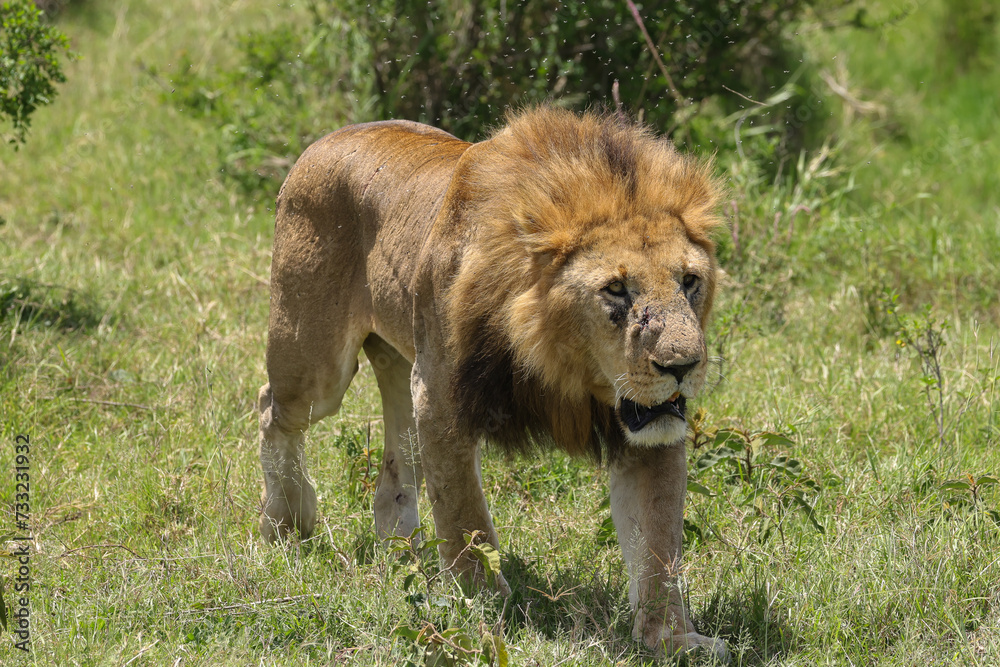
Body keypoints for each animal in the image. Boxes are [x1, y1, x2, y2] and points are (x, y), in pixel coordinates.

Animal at [258, 107, 728, 660]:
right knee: (273, 409)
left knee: (396, 460)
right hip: (317, 363)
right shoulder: (440, 399)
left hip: (399, 362)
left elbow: (658, 543)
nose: (684, 365)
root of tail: (330, 137)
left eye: (689, 281)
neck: (564, 367)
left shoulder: (646, 427)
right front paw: (485, 609)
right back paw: (288, 523)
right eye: (616, 289)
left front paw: (672, 638)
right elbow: (465, 517)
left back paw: (401, 550)